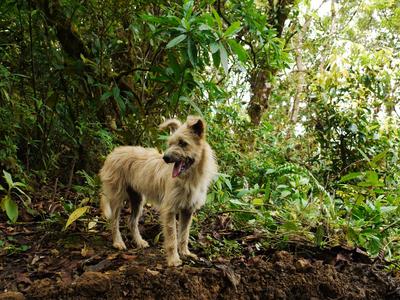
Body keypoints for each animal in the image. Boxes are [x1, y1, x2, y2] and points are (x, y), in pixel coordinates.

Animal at [100, 116, 219, 266]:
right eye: (170, 143)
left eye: (183, 143)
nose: (165, 158)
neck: (189, 178)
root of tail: (113, 152)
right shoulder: (169, 210)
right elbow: (172, 237)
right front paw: (174, 259)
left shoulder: (187, 210)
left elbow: (184, 234)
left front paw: (185, 253)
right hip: (117, 197)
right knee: (114, 221)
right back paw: (118, 242)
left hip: (138, 199)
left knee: (131, 221)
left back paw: (139, 242)